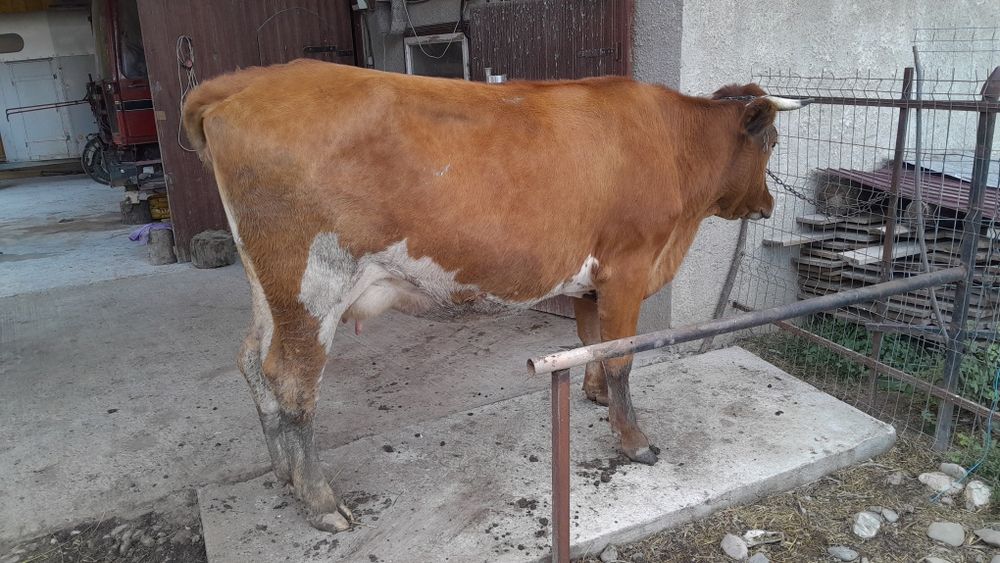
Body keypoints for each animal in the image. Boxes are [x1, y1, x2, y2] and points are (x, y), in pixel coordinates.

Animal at [181, 59, 806, 532]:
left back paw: (284, 475)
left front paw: (595, 396)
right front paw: (635, 442)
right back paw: (320, 501)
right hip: (314, 284)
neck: (671, 142)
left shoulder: (592, 280)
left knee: (252, 362)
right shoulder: (628, 268)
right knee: (292, 382)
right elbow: (621, 356)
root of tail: (250, 81)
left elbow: (591, 340)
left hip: (271, 288)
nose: (770, 205)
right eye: (771, 142)